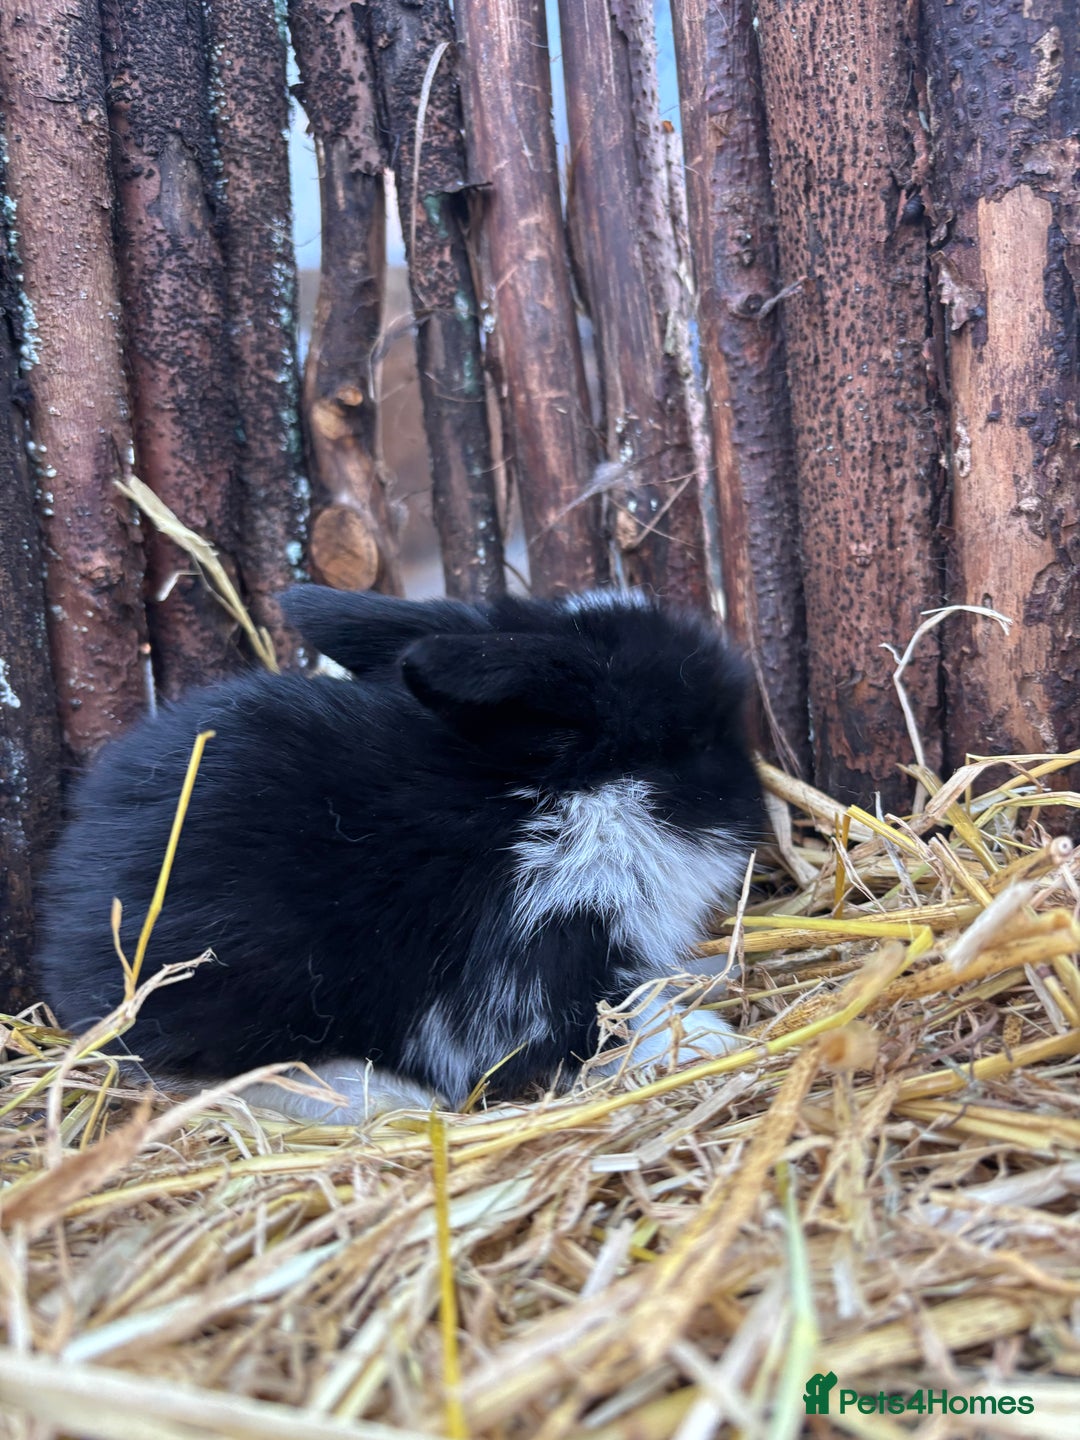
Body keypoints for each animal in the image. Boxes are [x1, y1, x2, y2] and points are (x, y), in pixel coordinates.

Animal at [37, 586, 765, 1122]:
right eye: (699, 743)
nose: (759, 808)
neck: (568, 807)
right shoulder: (539, 974)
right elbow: (618, 1024)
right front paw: (710, 1039)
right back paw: (385, 1095)